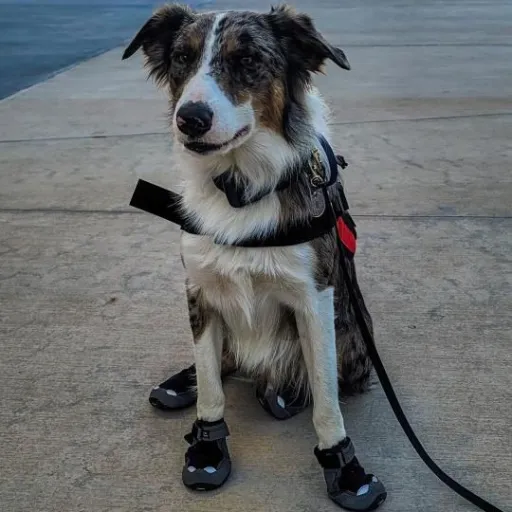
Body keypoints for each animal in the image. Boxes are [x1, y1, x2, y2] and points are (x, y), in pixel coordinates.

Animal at [123, 4, 386, 510]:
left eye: (246, 60)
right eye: (182, 58)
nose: (190, 119)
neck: (239, 186)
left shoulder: (314, 299)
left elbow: (326, 400)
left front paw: (344, 467)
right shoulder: (199, 289)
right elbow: (210, 387)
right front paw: (206, 445)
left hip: (351, 337)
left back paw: (282, 395)